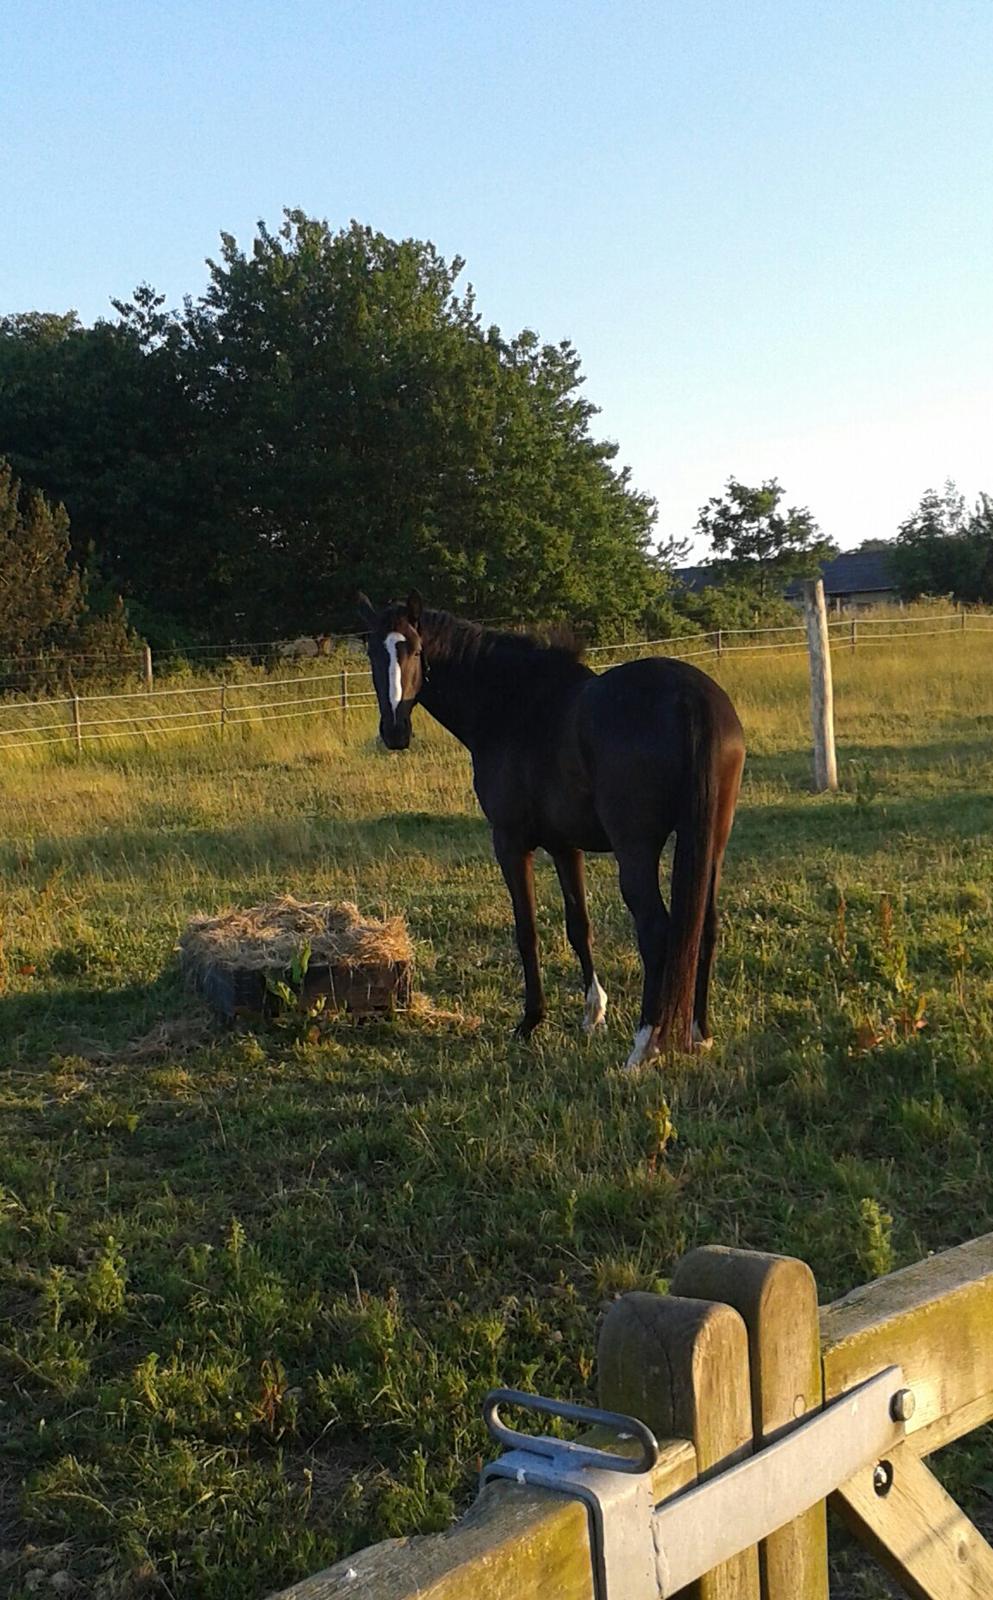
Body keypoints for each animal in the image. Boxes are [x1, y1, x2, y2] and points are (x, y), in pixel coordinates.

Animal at [358, 588, 741, 1062]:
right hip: (709, 844)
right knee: (704, 926)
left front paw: (531, 1021)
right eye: (372, 651)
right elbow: (579, 926)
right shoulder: (564, 846)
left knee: (656, 930)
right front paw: (593, 1013)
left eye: (412, 648)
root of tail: (690, 697)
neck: (514, 705)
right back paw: (698, 1032)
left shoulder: (510, 842)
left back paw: (642, 1047)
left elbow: (527, 931)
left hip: (637, 850)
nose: (395, 731)